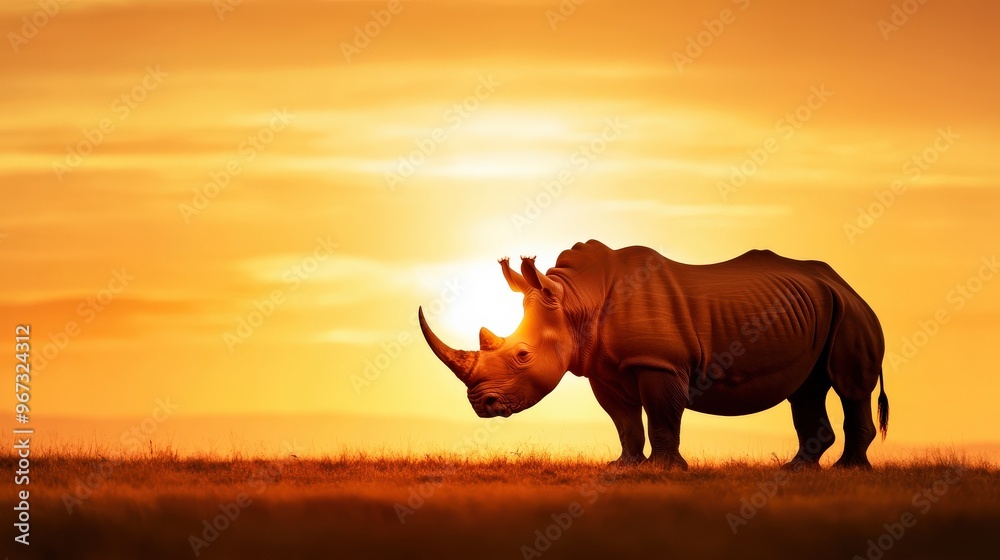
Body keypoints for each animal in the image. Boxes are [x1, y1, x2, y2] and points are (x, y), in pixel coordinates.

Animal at [418, 240, 888, 470]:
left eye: (522, 355)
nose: (481, 405)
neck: (576, 301)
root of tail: (845, 283)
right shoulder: (602, 369)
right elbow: (624, 420)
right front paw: (624, 466)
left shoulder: (659, 362)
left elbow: (662, 414)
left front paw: (665, 470)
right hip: (823, 308)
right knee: (806, 389)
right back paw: (797, 470)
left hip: (852, 313)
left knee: (849, 388)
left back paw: (849, 472)